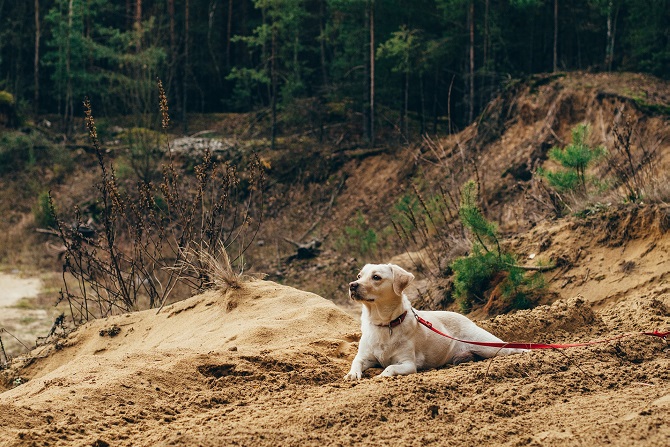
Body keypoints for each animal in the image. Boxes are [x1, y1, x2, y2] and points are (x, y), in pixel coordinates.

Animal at [344, 264, 528, 380]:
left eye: (376, 277)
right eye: (359, 276)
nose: (352, 285)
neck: (384, 324)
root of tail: (465, 317)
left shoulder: (408, 364)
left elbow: (390, 367)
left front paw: (382, 375)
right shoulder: (365, 356)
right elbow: (356, 361)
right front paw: (352, 374)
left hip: (486, 345)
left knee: (507, 347)